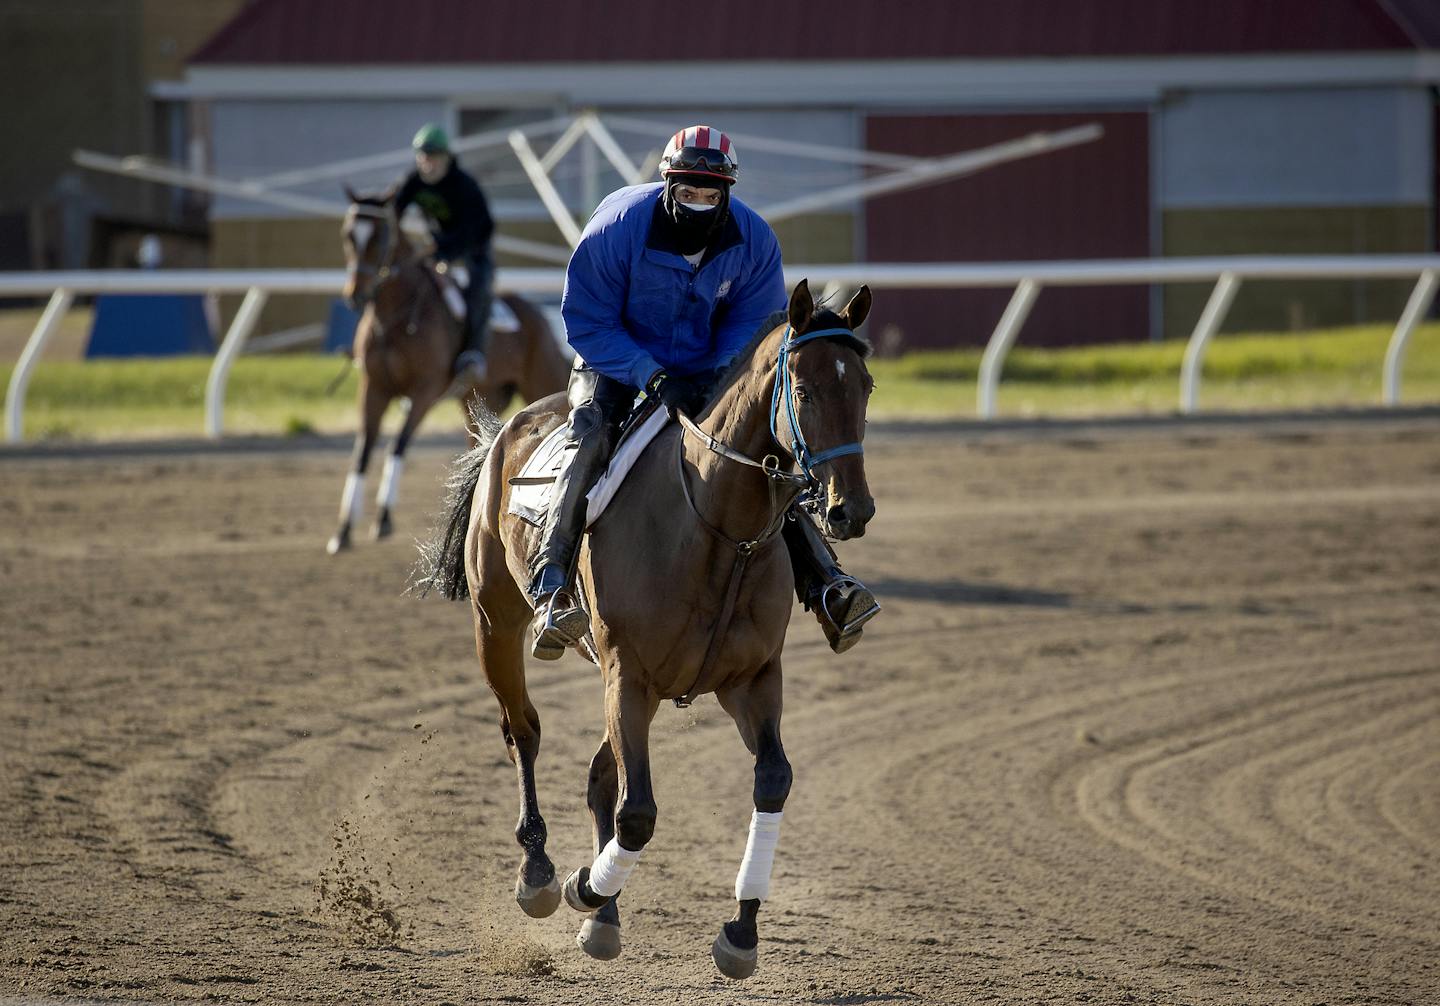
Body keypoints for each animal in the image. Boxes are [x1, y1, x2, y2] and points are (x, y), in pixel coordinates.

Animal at [329, 191, 570, 555]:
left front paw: (383, 518)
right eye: (347, 234)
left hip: (542, 378)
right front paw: (343, 531)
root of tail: (537, 313)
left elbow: (397, 443)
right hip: (477, 401)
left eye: (379, 235)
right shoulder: (374, 388)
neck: (396, 318)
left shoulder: (424, 390)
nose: (356, 293)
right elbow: (363, 452)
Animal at [417, 279, 875, 978]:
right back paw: (540, 871)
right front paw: (584, 887)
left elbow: (771, 781)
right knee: (524, 730)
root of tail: (505, 432)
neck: (719, 530)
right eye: (803, 390)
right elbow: (637, 814)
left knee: (600, 776)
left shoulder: (751, 679)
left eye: (866, 387)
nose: (852, 509)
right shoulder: (627, 674)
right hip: (497, 623)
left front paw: (741, 932)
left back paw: (603, 914)